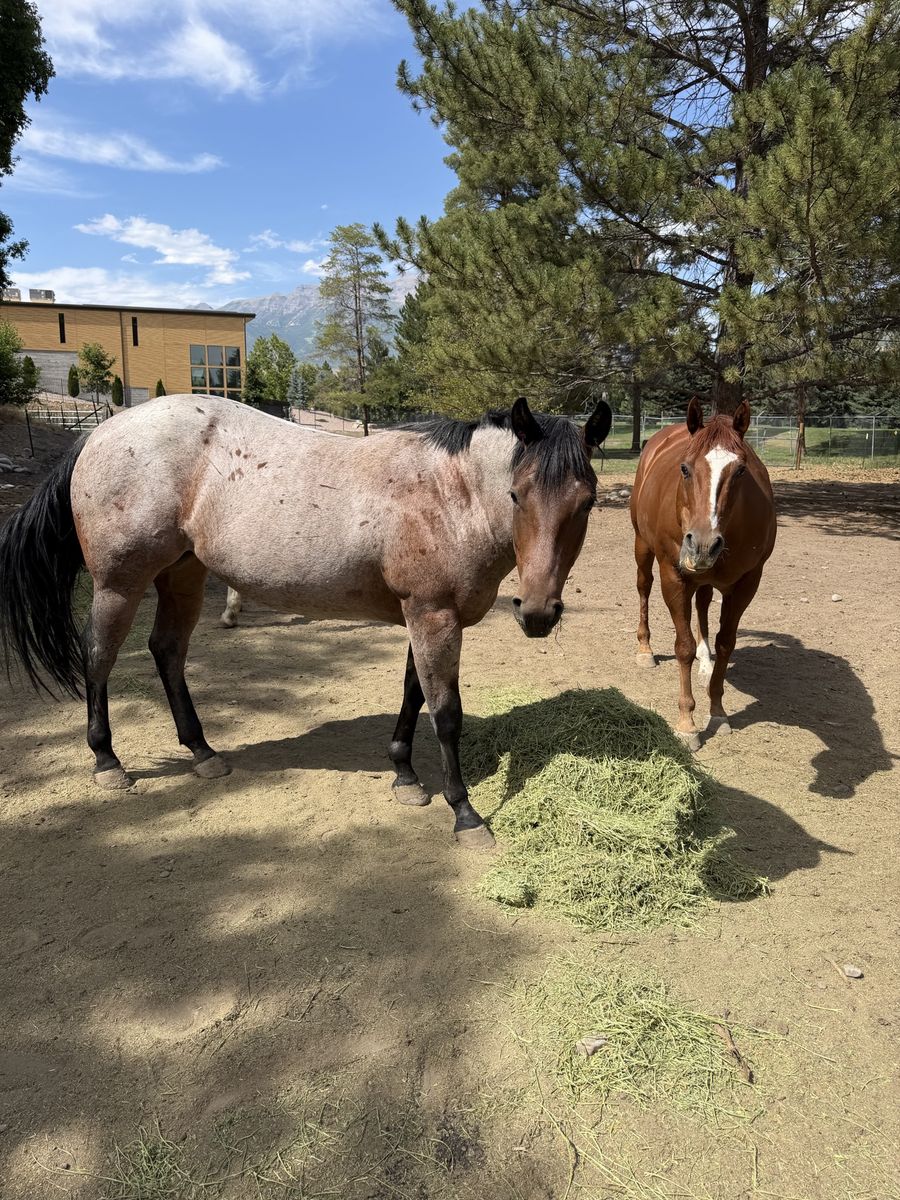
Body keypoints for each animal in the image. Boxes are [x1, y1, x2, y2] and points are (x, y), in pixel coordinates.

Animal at [0, 393, 611, 848]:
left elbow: (412, 693)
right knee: (99, 657)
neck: (448, 494)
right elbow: (445, 714)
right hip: (117, 586)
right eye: (516, 494)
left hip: (183, 574)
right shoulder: (433, 615)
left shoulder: (426, 615)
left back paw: (202, 753)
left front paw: (405, 776)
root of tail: (98, 434)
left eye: (586, 503)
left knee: (167, 650)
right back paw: (107, 761)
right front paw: (464, 813)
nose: (537, 612)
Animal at [629, 398, 776, 750]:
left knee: (704, 604)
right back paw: (645, 649)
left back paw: (705, 660)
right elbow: (681, 646)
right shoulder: (674, 577)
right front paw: (687, 723)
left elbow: (726, 643)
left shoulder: (748, 582)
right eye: (684, 468)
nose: (702, 544)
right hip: (642, 546)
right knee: (643, 587)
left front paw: (718, 711)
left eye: (741, 470)